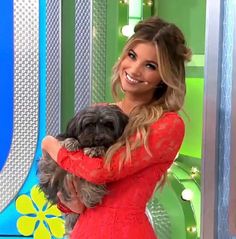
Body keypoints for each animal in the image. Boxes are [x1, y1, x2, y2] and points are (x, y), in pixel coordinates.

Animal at [37, 105, 128, 235]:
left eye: (108, 124)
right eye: (89, 124)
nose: (99, 138)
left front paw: (96, 149)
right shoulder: (52, 166)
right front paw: (71, 142)